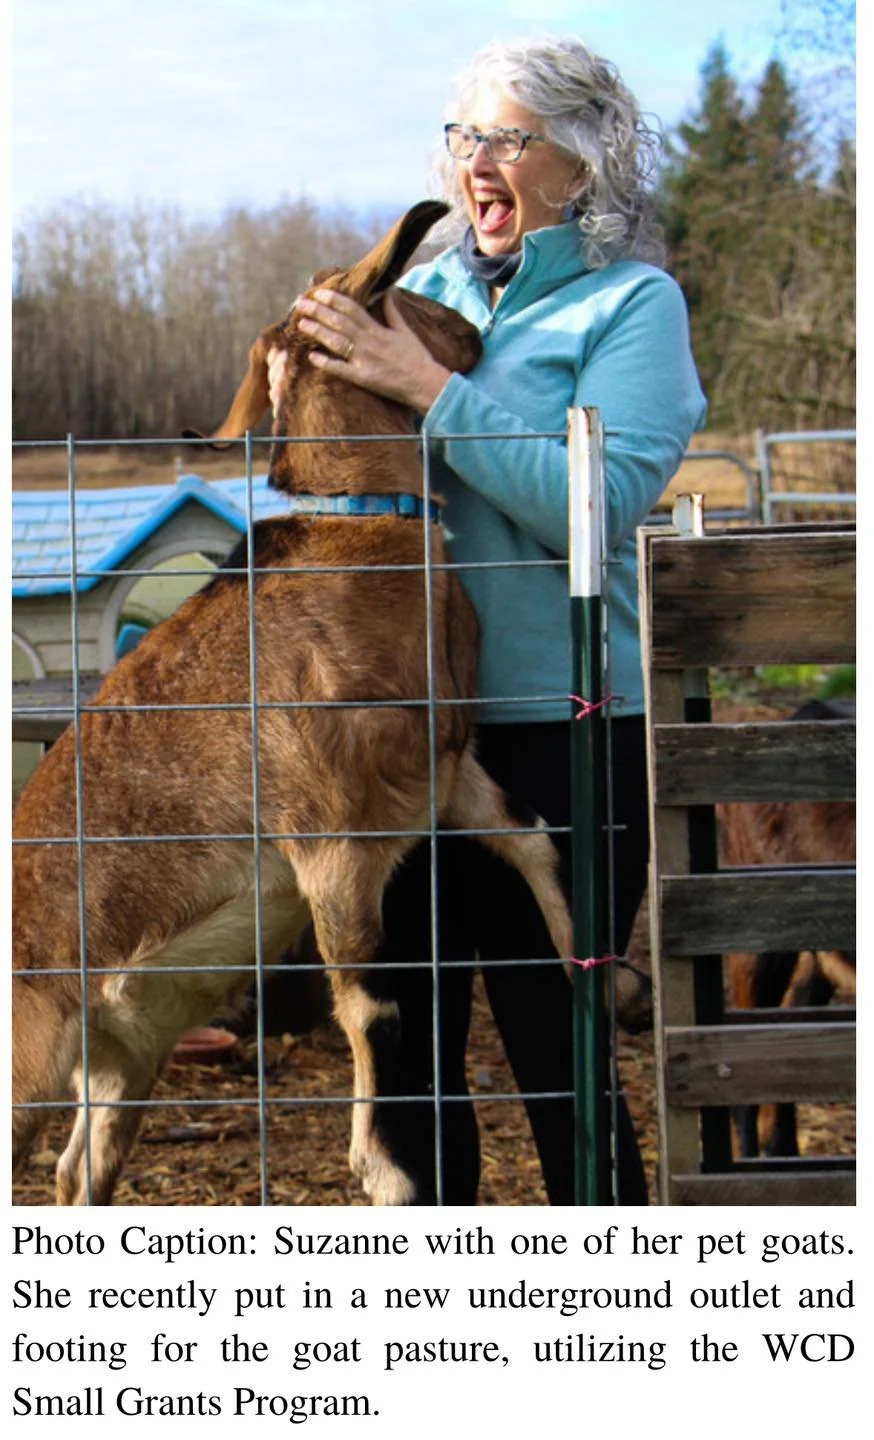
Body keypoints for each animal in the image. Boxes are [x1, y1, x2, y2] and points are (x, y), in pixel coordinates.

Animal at [12, 200, 573, 1206]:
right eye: (403, 290)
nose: (473, 332)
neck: (359, 540)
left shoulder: (444, 775)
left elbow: (535, 840)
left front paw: (615, 983)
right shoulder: (332, 841)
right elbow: (370, 1004)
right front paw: (383, 1168)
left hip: (119, 1054)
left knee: (78, 1173)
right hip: (32, 1048)